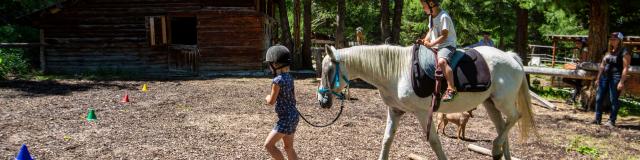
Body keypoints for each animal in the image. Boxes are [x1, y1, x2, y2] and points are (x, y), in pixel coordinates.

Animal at [316, 45, 536, 160]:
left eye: (329, 70)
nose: (322, 100)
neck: (396, 71)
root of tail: (510, 57)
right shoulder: (395, 110)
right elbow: (387, 140)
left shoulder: (423, 113)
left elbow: (434, 142)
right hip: (490, 104)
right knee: (502, 128)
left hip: (502, 102)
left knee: (515, 117)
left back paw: (495, 147)